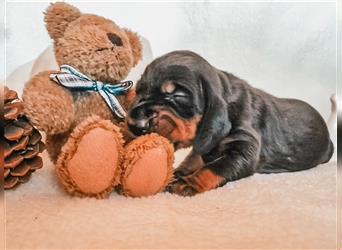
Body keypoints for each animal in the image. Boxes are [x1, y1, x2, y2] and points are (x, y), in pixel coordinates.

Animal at [127, 49, 334, 196]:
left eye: (176, 95)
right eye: (139, 91)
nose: (135, 124)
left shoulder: (244, 146)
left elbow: (214, 167)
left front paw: (188, 183)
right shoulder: (205, 143)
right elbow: (194, 157)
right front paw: (178, 173)